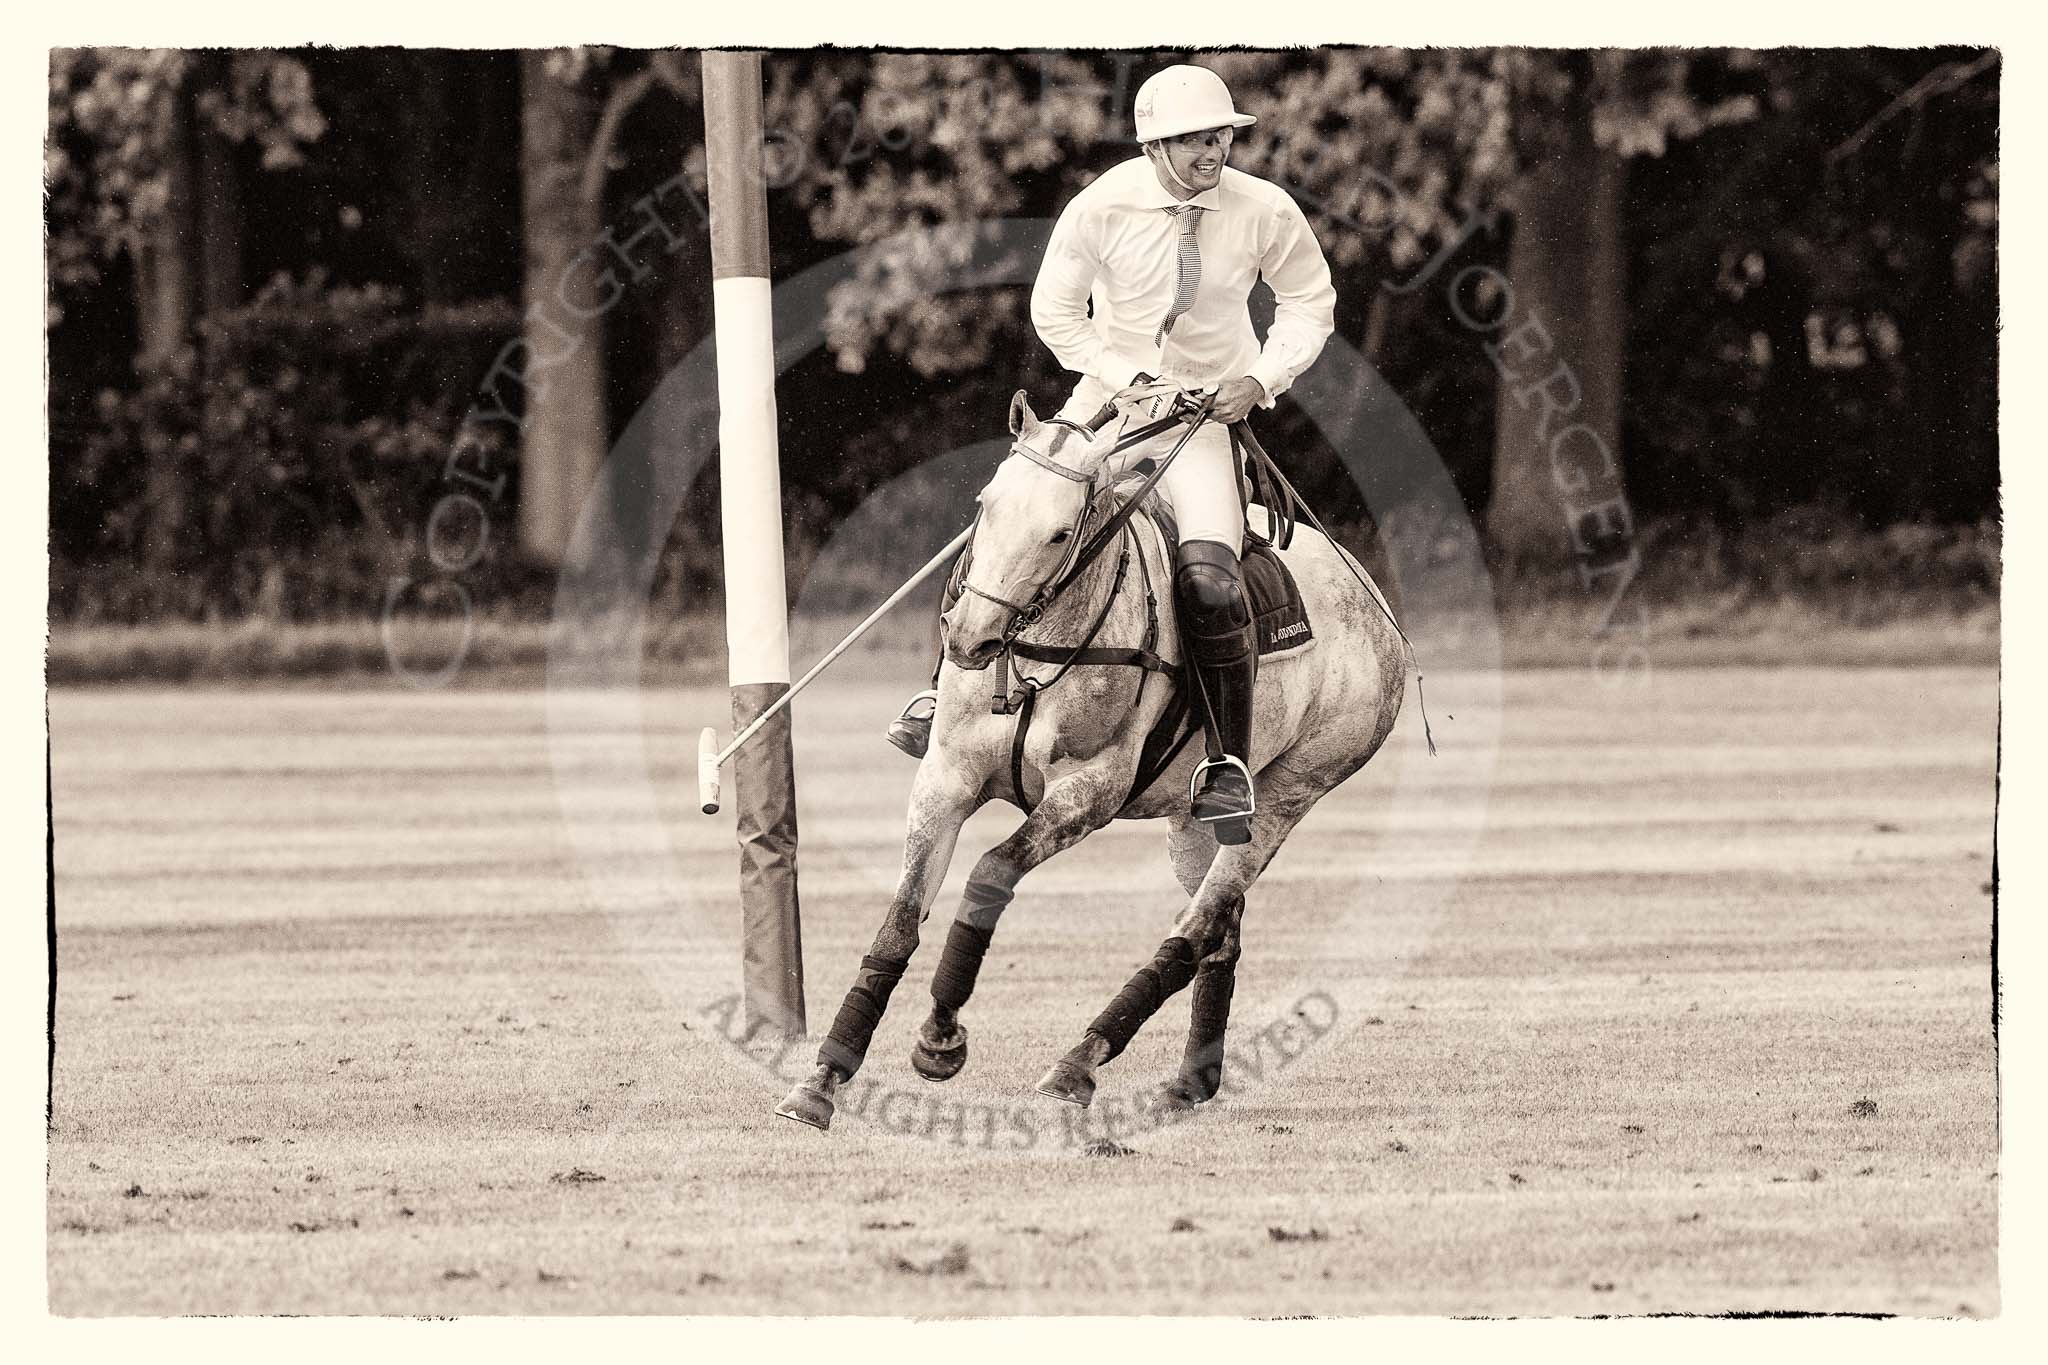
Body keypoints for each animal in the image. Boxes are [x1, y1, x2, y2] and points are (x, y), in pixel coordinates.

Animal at [770, 386, 1409, 1129]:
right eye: (985, 504)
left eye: (1057, 533)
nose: (968, 638)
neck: (1034, 646)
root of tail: (1374, 599)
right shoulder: (946, 776)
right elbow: (900, 920)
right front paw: (821, 1080)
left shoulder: (1090, 790)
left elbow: (992, 872)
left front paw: (940, 1038)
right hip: (1189, 819)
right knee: (1222, 931)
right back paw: (1187, 1083)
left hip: (1293, 789)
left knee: (1197, 925)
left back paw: (1078, 1064)